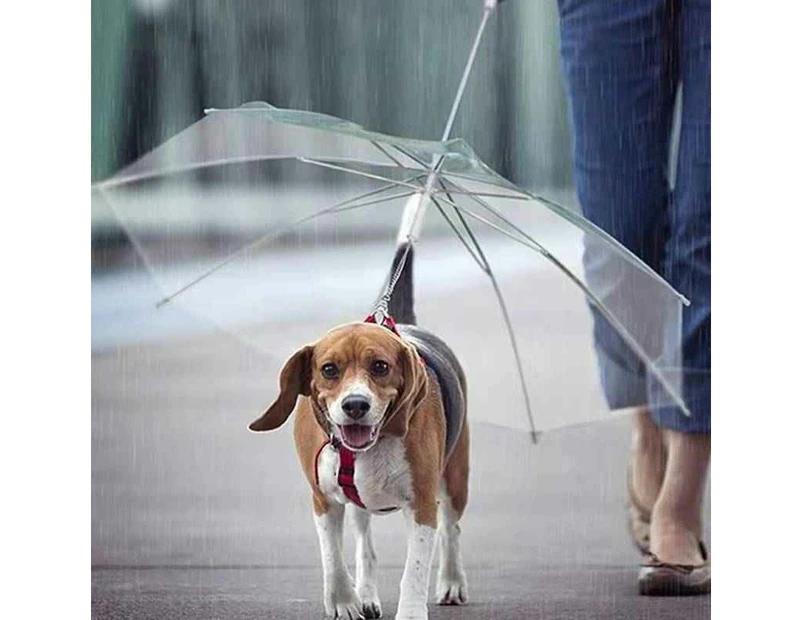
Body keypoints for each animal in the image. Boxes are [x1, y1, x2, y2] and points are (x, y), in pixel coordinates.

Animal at [248, 243, 468, 620]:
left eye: (380, 366)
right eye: (328, 369)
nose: (355, 405)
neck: (367, 447)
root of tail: (403, 323)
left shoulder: (422, 503)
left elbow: (415, 570)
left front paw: (411, 612)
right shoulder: (323, 500)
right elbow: (333, 557)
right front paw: (343, 601)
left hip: (455, 480)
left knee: (451, 530)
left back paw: (452, 581)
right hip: (358, 505)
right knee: (366, 547)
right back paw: (365, 594)